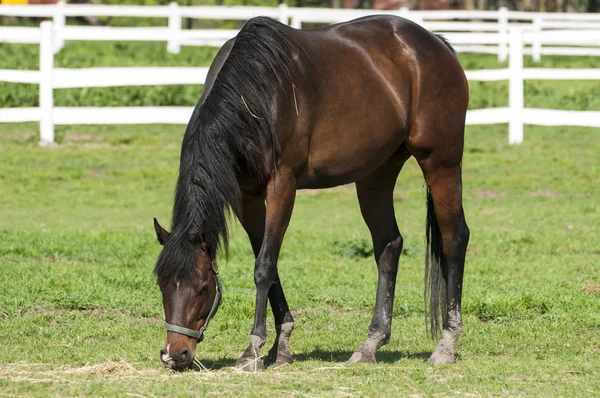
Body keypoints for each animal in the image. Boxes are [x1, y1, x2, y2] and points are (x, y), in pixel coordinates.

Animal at [154, 14, 468, 372]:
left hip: (440, 162)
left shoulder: (283, 183)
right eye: (162, 284)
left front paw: (253, 350)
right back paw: (370, 344)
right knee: (389, 245)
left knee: (454, 240)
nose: (175, 355)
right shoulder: (248, 195)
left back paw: (446, 344)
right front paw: (280, 346)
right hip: (377, 174)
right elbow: (269, 262)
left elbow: (263, 266)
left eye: (203, 287)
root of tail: (437, 44)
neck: (257, 93)